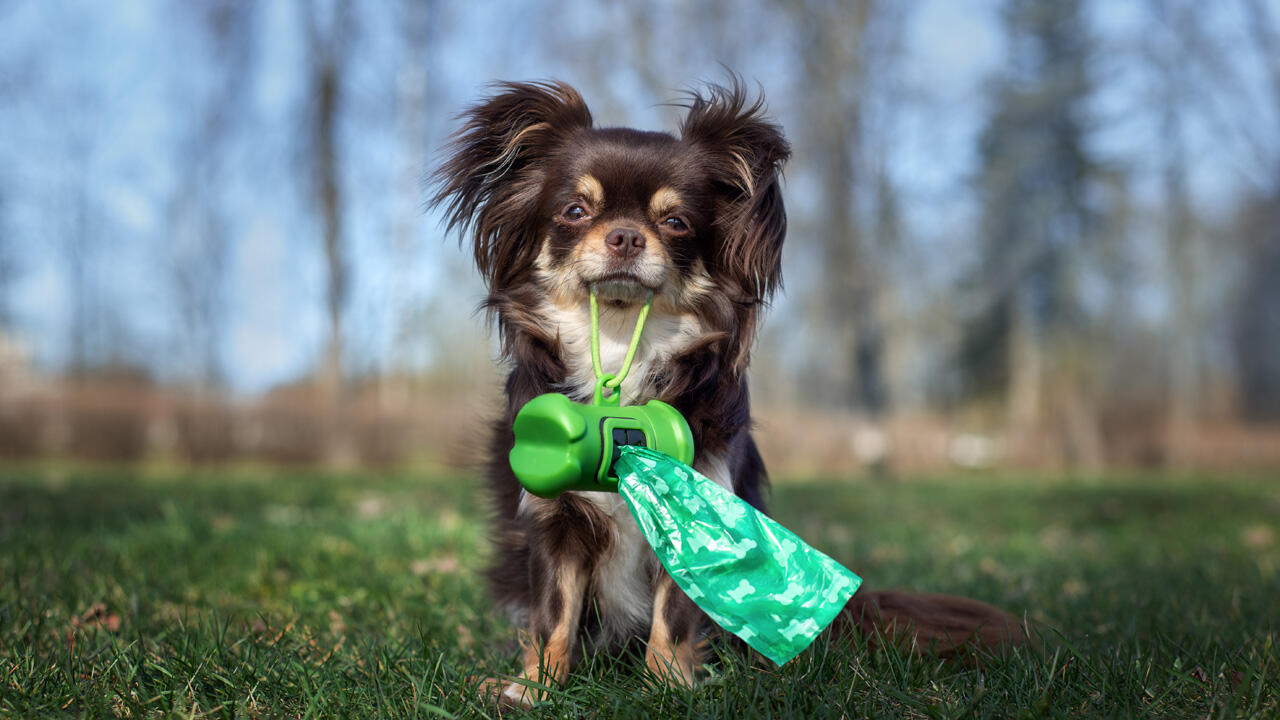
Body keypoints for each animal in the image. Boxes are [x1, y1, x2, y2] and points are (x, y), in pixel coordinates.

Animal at [435, 77, 1024, 702]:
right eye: (575, 211)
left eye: (676, 223)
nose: (624, 236)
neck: (621, 345)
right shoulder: (557, 522)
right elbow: (554, 613)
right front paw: (537, 687)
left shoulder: (700, 506)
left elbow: (674, 616)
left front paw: (668, 685)